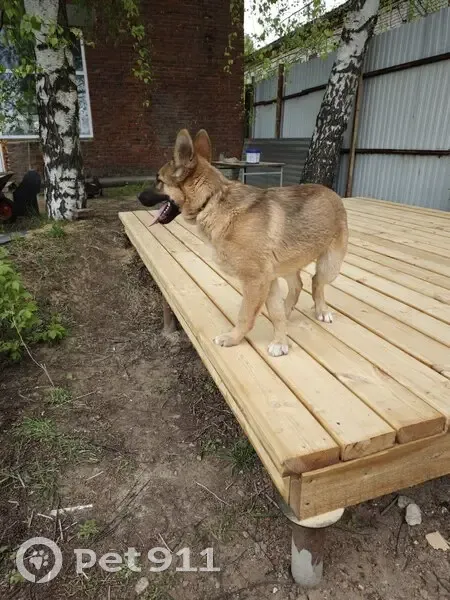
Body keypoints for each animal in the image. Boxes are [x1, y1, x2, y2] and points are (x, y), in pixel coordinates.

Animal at [138, 129, 348, 357]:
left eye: (158, 180)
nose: (139, 197)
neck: (211, 201)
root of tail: (331, 192)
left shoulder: (255, 281)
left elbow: (245, 316)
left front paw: (233, 338)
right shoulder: (268, 280)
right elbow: (275, 313)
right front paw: (280, 340)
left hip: (330, 266)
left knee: (317, 282)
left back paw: (322, 310)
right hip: (288, 265)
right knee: (298, 286)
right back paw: (288, 310)